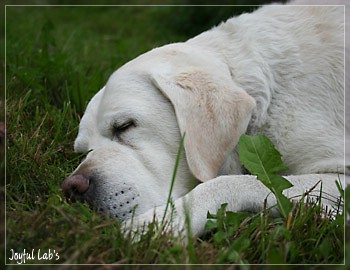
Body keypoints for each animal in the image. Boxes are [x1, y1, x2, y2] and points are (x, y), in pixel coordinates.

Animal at [61, 1, 348, 237]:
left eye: (125, 126)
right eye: (83, 151)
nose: (71, 189)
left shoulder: (337, 177)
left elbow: (237, 181)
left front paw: (160, 222)